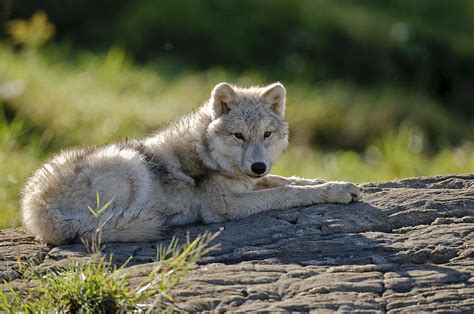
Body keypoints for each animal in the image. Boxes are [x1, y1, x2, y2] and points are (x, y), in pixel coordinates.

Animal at [20, 83, 362, 245]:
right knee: (97, 230)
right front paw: (334, 190)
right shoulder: (225, 206)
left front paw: (336, 185)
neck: (208, 153)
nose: (258, 166)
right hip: (129, 160)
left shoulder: (251, 181)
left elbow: (289, 180)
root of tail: (35, 208)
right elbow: (286, 193)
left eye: (266, 135)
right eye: (239, 136)